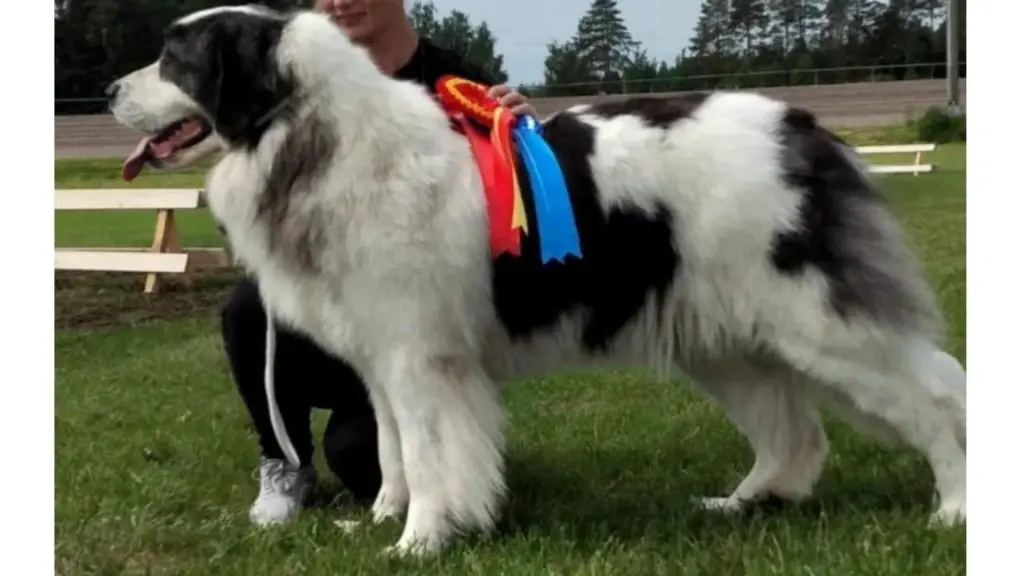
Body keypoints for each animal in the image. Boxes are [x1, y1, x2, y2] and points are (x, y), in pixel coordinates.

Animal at [112, 3, 966, 553]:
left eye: (176, 59)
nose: (114, 91)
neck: (310, 136)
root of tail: (803, 127)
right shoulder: (381, 361)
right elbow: (391, 449)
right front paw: (386, 518)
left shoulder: (420, 361)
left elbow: (428, 452)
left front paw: (420, 541)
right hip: (727, 338)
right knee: (796, 434)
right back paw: (743, 503)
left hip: (821, 321)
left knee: (934, 397)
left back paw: (955, 510)